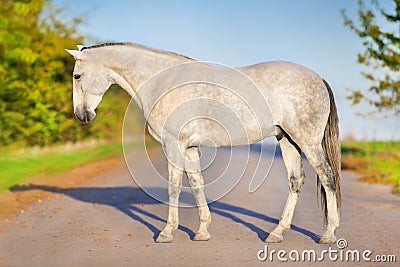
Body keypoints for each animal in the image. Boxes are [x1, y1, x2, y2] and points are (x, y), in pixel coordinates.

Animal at [65, 42, 340, 245]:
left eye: (77, 76)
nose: (82, 115)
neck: (162, 81)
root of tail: (318, 78)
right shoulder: (189, 148)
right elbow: (196, 184)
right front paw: (202, 231)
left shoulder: (173, 145)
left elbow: (174, 188)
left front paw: (166, 232)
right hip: (287, 140)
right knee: (296, 181)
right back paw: (277, 233)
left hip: (308, 142)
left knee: (327, 177)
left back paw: (328, 234)